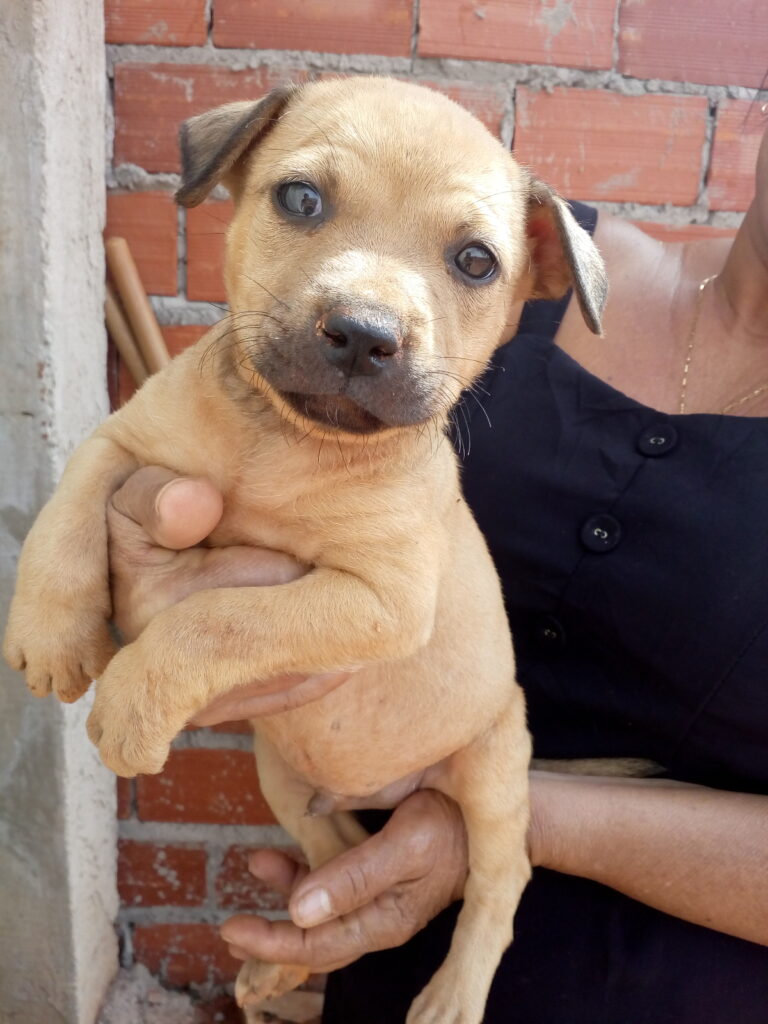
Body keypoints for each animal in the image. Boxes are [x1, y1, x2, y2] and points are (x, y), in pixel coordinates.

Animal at [4, 75, 606, 1019]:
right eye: (300, 200)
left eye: (476, 262)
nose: (362, 332)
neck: (287, 440)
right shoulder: (124, 441)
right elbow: (67, 506)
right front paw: (51, 630)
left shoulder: (382, 599)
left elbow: (221, 619)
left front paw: (132, 704)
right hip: (283, 775)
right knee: (331, 855)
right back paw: (285, 961)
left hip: (494, 766)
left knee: (500, 877)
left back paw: (450, 994)